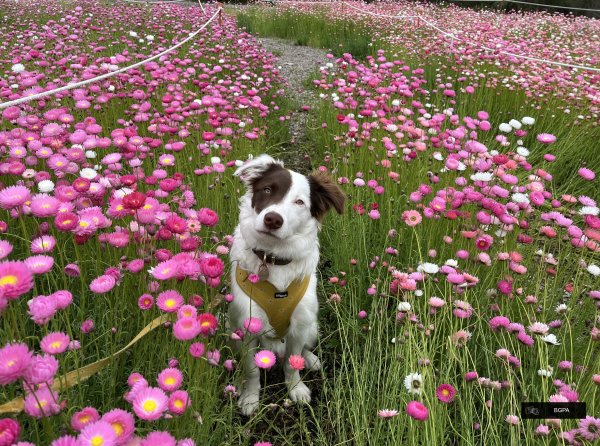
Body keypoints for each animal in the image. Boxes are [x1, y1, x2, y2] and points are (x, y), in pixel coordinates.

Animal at [229, 153, 344, 414]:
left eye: (300, 202)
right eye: (267, 189)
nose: (273, 219)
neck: (273, 261)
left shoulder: (300, 324)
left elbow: (292, 363)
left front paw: (296, 389)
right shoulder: (248, 326)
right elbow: (251, 369)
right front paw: (250, 397)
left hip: (312, 326)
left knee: (302, 350)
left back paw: (311, 360)